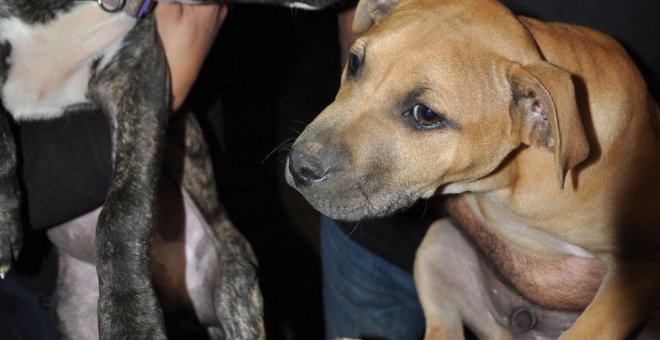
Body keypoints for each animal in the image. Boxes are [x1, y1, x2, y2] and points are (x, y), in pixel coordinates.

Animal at [286, 0, 660, 338]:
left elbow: (583, 332)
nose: (299, 166)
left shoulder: (637, 271)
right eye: (354, 62)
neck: (517, 176)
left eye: (425, 114)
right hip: (439, 243)